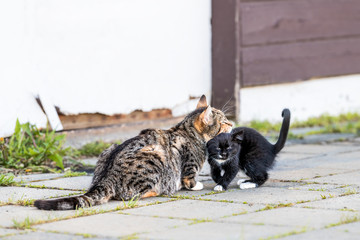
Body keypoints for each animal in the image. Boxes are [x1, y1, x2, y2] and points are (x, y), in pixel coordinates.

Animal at [33, 95, 231, 210]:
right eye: (223, 122)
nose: (232, 123)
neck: (188, 131)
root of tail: (105, 178)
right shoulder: (189, 166)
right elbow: (189, 179)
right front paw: (196, 185)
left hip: (110, 149)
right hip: (155, 155)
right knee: (130, 195)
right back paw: (160, 190)